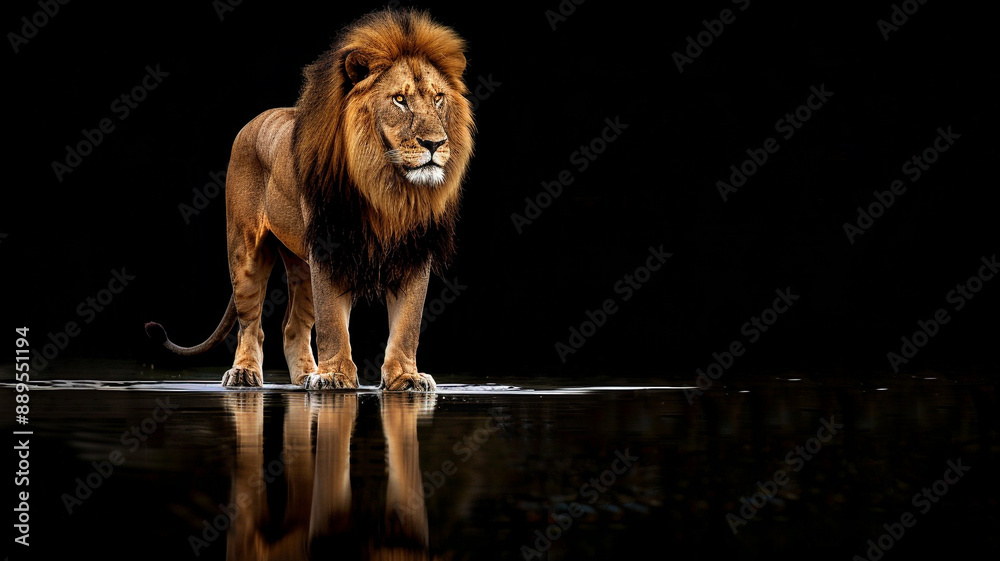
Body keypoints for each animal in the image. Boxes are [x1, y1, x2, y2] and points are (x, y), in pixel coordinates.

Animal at [145, 9, 473, 391]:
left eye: (438, 99)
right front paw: (334, 376)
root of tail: (254, 121)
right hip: (246, 251)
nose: (435, 144)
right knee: (250, 326)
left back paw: (305, 375)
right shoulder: (329, 249)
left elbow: (408, 324)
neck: (388, 187)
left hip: (302, 265)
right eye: (399, 100)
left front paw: (405, 377)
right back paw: (245, 373)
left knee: (292, 326)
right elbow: (333, 323)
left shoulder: (415, 251)